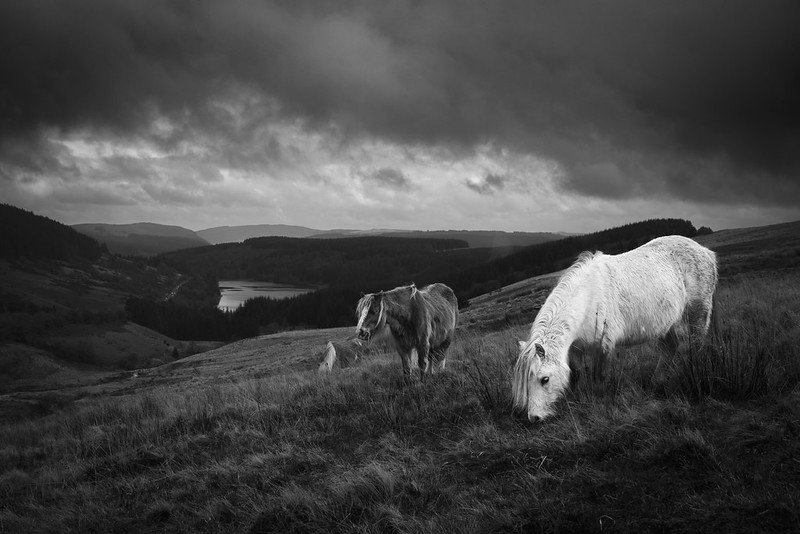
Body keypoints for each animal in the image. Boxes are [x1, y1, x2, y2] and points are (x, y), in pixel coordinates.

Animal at [512, 237, 720, 426]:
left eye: (544, 379)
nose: (534, 417)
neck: (588, 298)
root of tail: (705, 251)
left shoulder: (604, 344)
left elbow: (600, 375)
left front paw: (599, 401)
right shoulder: (577, 348)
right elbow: (578, 373)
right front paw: (580, 396)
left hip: (698, 311)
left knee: (697, 342)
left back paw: (695, 371)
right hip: (665, 325)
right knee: (670, 348)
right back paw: (656, 381)